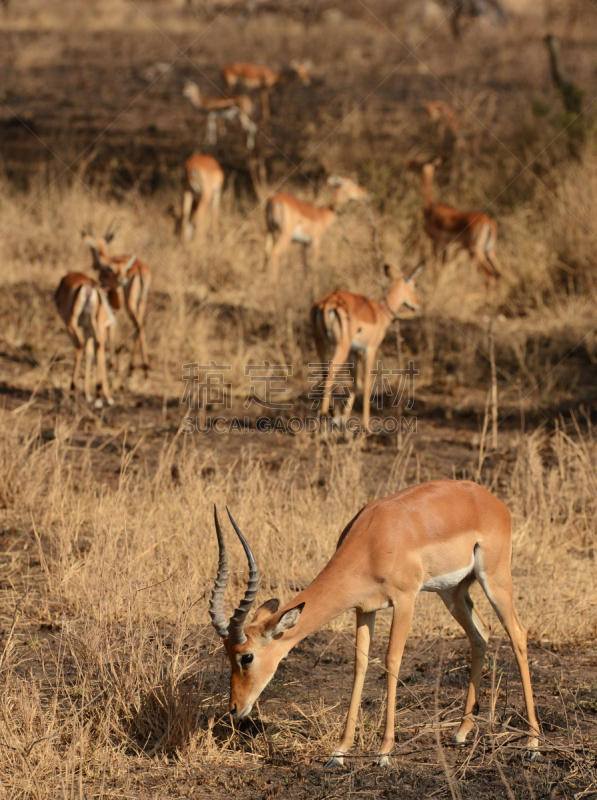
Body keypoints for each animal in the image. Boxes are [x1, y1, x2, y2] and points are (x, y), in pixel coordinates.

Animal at [55, 274, 117, 410]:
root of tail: (89, 285)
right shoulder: (87, 327)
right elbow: (90, 353)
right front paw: (89, 394)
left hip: (72, 322)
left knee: (80, 345)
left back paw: (74, 392)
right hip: (93, 323)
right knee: (99, 347)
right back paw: (103, 396)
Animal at [81, 225, 151, 376]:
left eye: (92, 249)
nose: (94, 265)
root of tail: (140, 269)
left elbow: (110, 328)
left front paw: (112, 365)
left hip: (130, 303)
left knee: (138, 325)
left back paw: (133, 368)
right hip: (142, 300)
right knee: (141, 325)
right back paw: (144, 367)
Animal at [208, 490, 540, 764]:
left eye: (247, 657)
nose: (235, 708)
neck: (374, 539)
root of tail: (491, 500)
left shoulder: (405, 600)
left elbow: (392, 660)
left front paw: (383, 752)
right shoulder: (363, 609)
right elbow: (360, 665)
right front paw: (339, 752)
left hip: (495, 578)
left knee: (518, 634)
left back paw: (533, 745)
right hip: (453, 590)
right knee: (480, 633)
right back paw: (461, 733)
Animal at [310, 264, 422, 432]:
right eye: (414, 285)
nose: (418, 305)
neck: (382, 311)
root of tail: (327, 302)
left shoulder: (354, 351)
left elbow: (357, 383)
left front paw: (341, 419)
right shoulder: (370, 349)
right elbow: (368, 383)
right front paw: (367, 426)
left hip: (320, 343)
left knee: (324, 372)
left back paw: (329, 413)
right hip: (341, 347)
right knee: (330, 371)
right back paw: (324, 414)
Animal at [408, 158, 500, 286]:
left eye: (418, 162)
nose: (409, 164)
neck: (431, 206)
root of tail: (488, 222)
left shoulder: (435, 241)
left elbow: (436, 265)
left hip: (475, 253)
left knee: (489, 276)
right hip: (490, 251)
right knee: (498, 274)